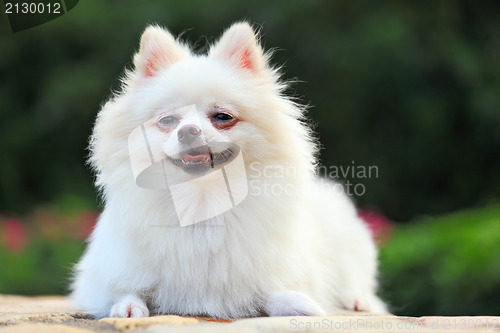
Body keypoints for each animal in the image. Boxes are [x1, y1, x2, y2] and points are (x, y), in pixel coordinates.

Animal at [70, 22, 386, 318]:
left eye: (222, 117)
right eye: (168, 121)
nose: (188, 131)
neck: (202, 201)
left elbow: (272, 291)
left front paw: (297, 303)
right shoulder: (106, 271)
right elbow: (124, 289)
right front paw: (127, 305)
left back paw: (360, 301)